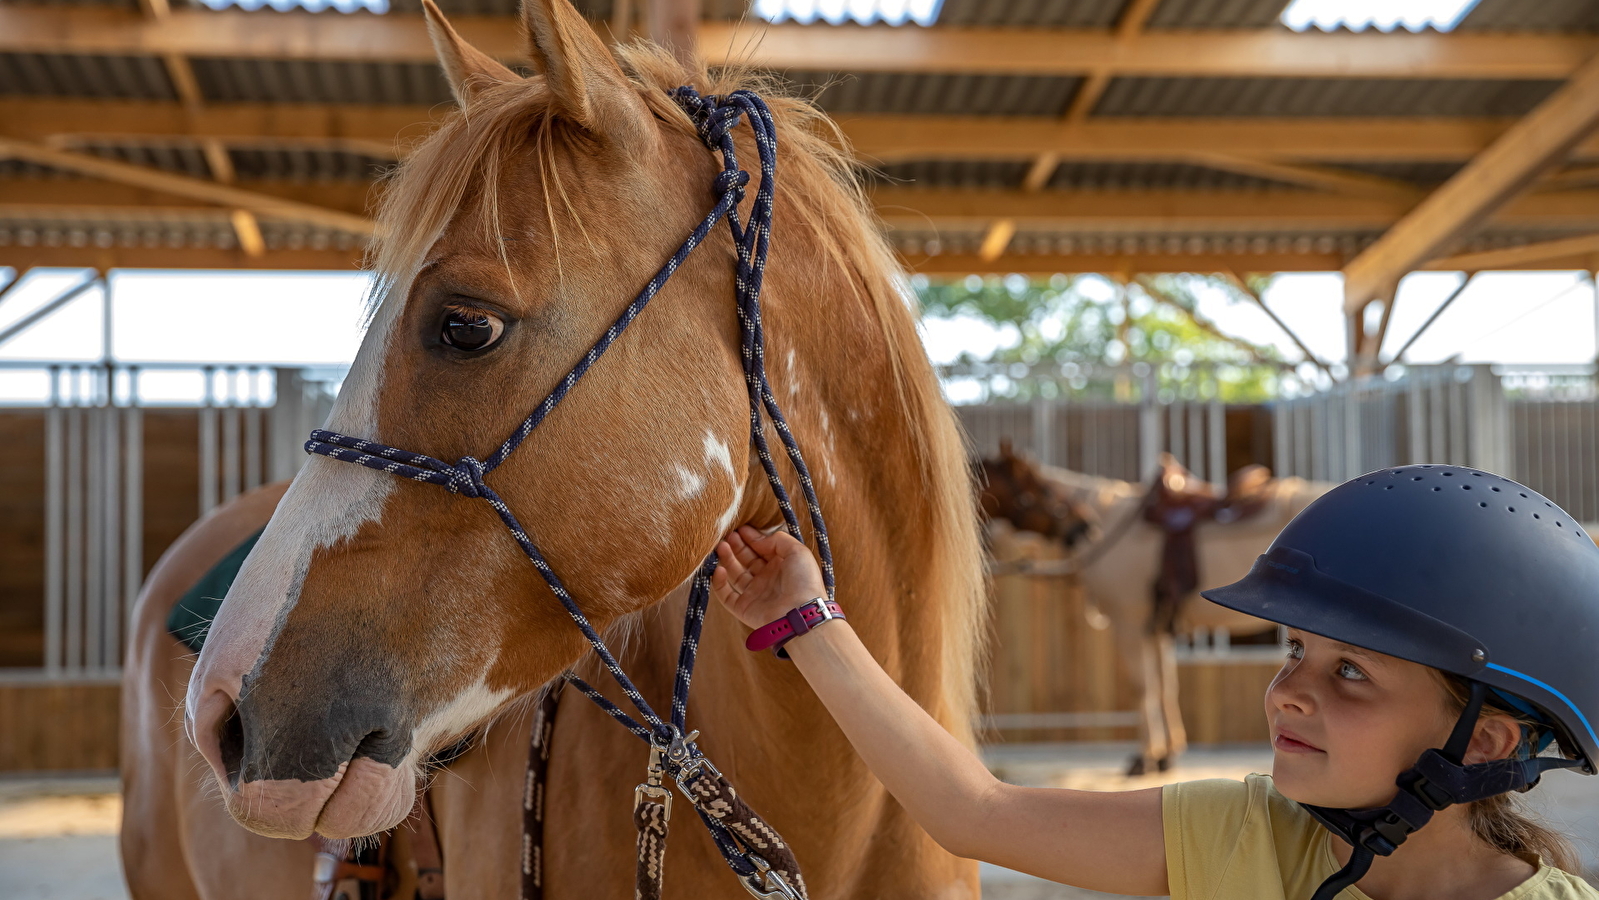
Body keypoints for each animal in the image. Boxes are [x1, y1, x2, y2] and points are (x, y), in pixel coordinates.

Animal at [978, 444, 1330, 773]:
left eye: (1047, 490)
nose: (1083, 526)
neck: (1113, 525)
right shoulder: (1156, 626)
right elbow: (1164, 685)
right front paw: (1167, 754)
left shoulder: (1129, 624)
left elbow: (1143, 687)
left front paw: (1144, 758)